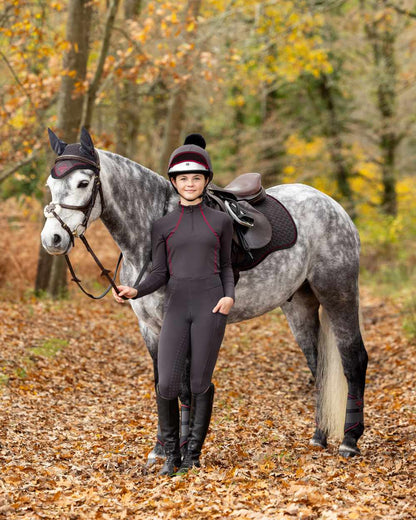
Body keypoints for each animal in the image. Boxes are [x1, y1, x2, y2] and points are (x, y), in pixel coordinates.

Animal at [41, 129, 368, 460]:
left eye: (83, 183)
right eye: (50, 185)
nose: (52, 239)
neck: (151, 234)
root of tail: (333, 206)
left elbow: (184, 387)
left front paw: (182, 451)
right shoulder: (150, 328)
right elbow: (161, 383)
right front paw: (161, 449)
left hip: (338, 293)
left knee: (353, 359)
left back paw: (349, 441)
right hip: (299, 305)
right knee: (319, 366)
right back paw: (319, 436)